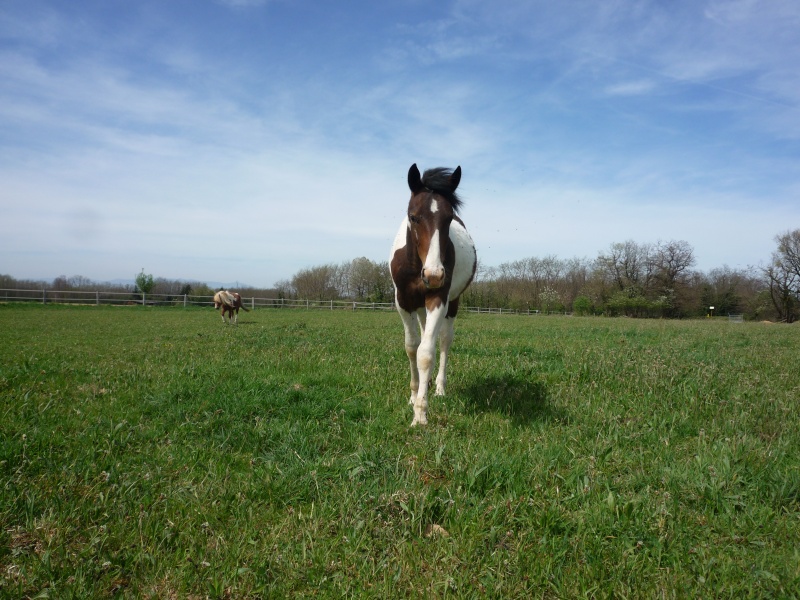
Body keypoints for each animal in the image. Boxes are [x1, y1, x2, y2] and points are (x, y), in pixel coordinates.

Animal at [392, 164, 478, 426]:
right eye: (413, 216)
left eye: (449, 218)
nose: (434, 275)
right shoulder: (403, 302)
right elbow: (412, 347)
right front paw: (413, 395)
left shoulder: (438, 299)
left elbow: (426, 353)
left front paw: (420, 413)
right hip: (420, 307)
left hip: (452, 303)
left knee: (444, 341)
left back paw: (438, 387)